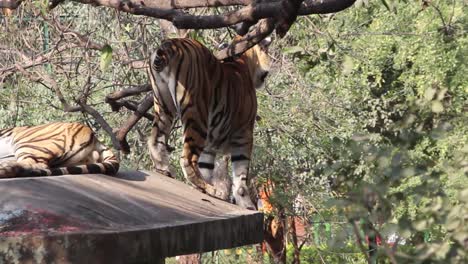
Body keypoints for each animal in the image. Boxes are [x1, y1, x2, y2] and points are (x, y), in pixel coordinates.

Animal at [148, 37, 272, 210]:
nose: (270, 62)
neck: (243, 61)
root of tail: (171, 43)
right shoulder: (244, 134)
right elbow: (241, 174)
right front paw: (247, 204)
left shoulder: (209, 145)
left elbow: (206, 167)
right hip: (197, 115)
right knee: (187, 158)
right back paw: (209, 189)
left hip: (163, 105)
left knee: (155, 138)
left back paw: (164, 169)